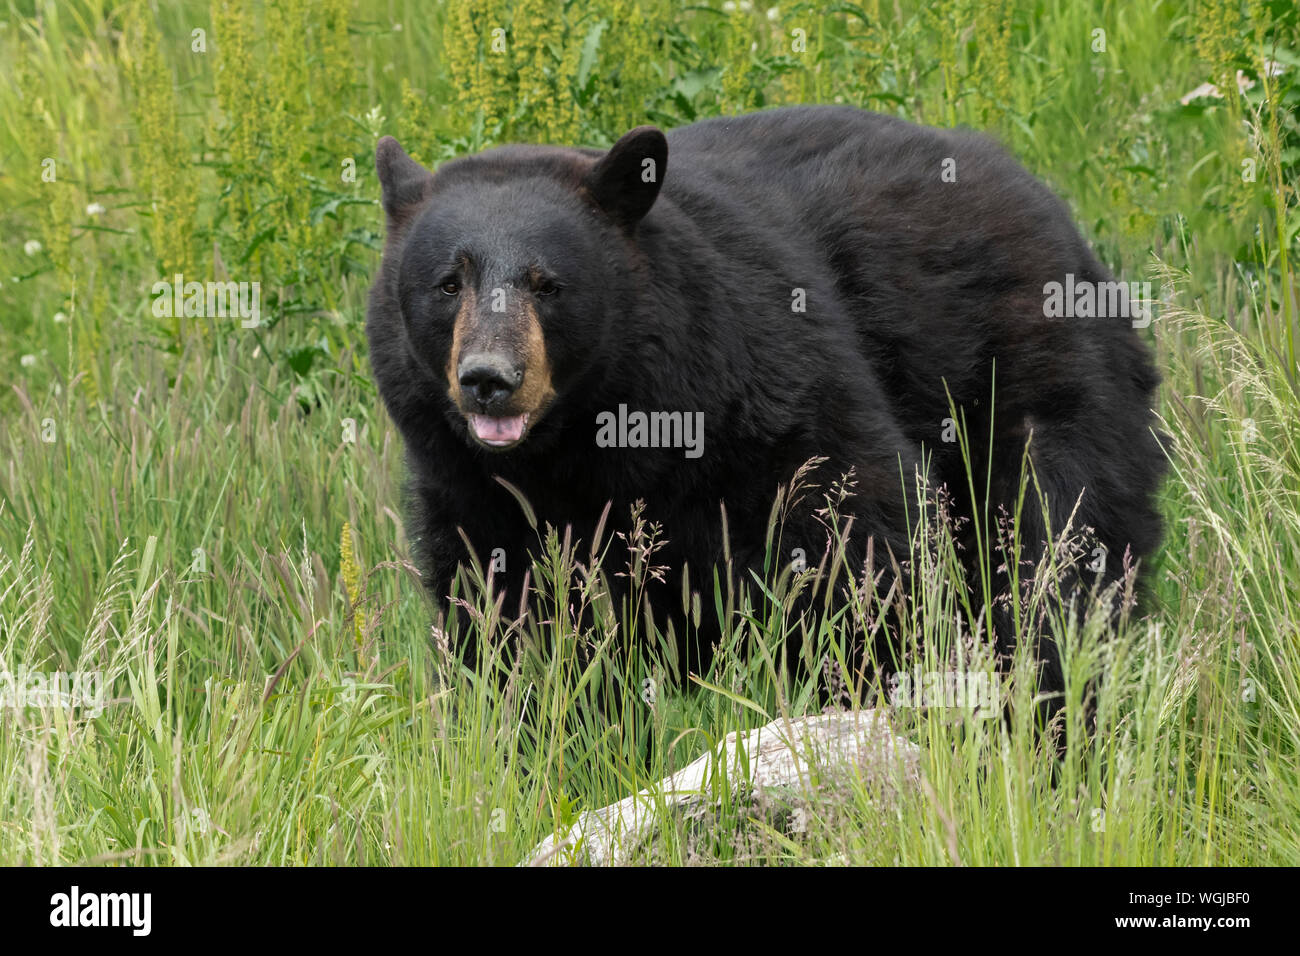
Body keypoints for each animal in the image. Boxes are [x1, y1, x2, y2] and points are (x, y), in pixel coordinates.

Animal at [366, 110, 1170, 712]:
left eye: (547, 283)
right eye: (448, 283)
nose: (488, 380)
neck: (591, 443)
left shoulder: (766, 393)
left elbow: (857, 543)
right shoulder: (474, 490)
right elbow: (509, 618)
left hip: (1032, 376)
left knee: (1056, 553)